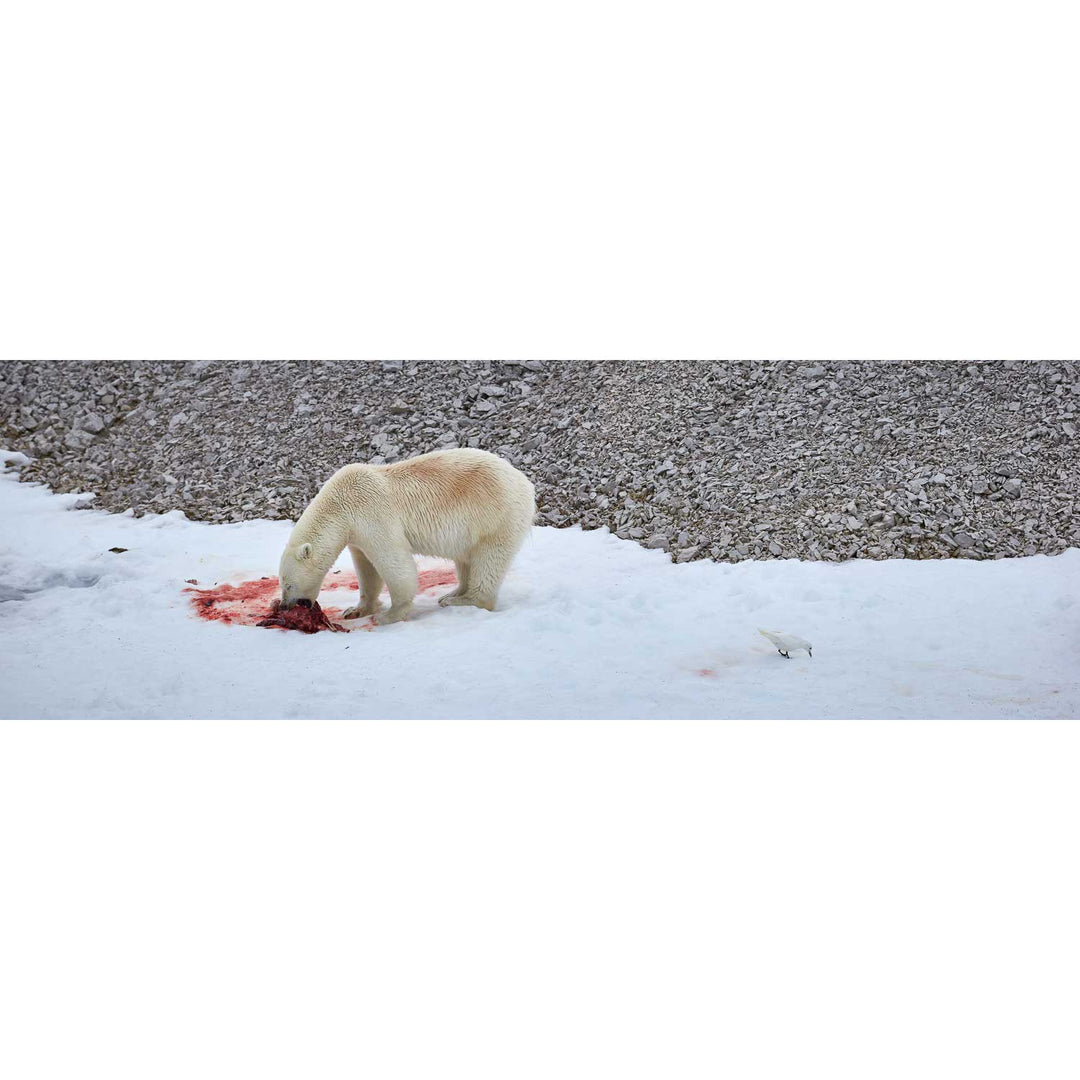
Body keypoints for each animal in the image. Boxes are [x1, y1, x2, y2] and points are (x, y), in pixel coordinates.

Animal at [276, 447, 533, 626]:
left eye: (288, 584)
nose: (285, 606)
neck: (339, 503)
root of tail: (525, 483)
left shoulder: (371, 513)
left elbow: (394, 561)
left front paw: (390, 615)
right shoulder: (355, 533)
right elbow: (366, 568)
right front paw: (356, 610)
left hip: (496, 517)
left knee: (489, 560)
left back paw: (463, 599)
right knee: (465, 559)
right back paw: (453, 592)